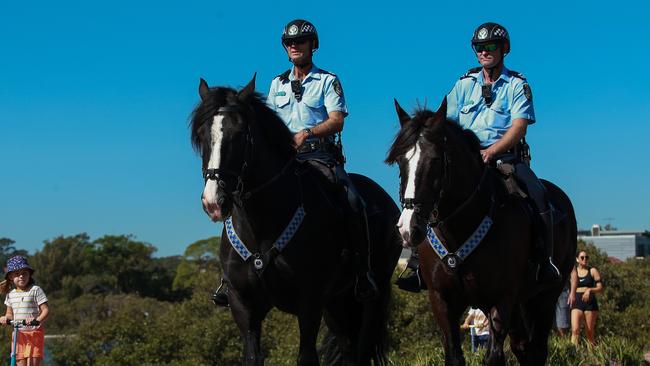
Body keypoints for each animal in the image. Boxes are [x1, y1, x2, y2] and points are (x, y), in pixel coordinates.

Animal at [189, 76, 400, 364]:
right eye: (201, 135)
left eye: (240, 134)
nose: (214, 202)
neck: (261, 228)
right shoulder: (243, 305)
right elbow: (252, 357)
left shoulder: (309, 303)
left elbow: (307, 357)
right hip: (337, 303)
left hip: (371, 299)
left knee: (361, 349)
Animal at [382, 98, 576, 364]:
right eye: (401, 161)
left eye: (435, 160)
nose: (408, 228)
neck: (458, 232)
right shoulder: (442, 301)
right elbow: (454, 356)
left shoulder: (502, 299)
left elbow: (493, 357)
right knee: (522, 347)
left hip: (545, 296)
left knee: (536, 349)